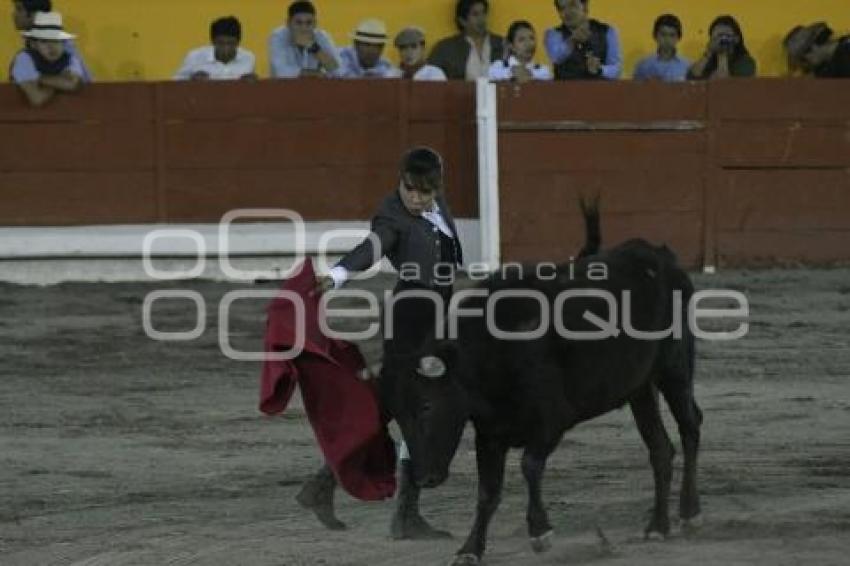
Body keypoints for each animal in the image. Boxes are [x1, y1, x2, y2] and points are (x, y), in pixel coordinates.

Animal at [378, 211, 704, 564]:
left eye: (427, 406)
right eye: (398, 416)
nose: (425, 478)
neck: (491, 353)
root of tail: (660, 255)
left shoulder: (552, 420)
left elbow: (529, 466)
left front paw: (540, 532)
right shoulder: (489, 433)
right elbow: (487, 492)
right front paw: (470, 549)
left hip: (675, 367)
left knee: (690, 426)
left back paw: (689, 513)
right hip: (640, 387)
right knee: (660, 447)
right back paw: (657, 525)